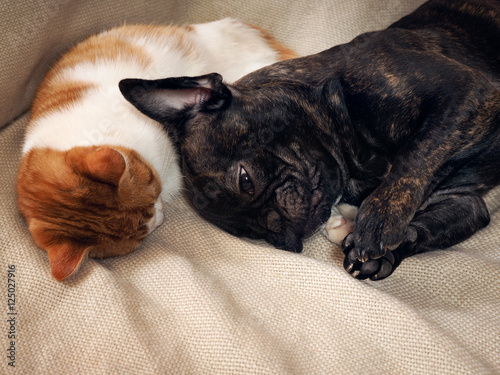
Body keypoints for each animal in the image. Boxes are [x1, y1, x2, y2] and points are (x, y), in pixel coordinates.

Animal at [121, 0, 500, 280]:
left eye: (245, 180)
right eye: (257, 235)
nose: (284, 235)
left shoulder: (464, 91)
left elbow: (416, 159)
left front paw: (379, 220)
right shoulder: (465, 203)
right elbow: (427, 225)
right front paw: (382, 254)